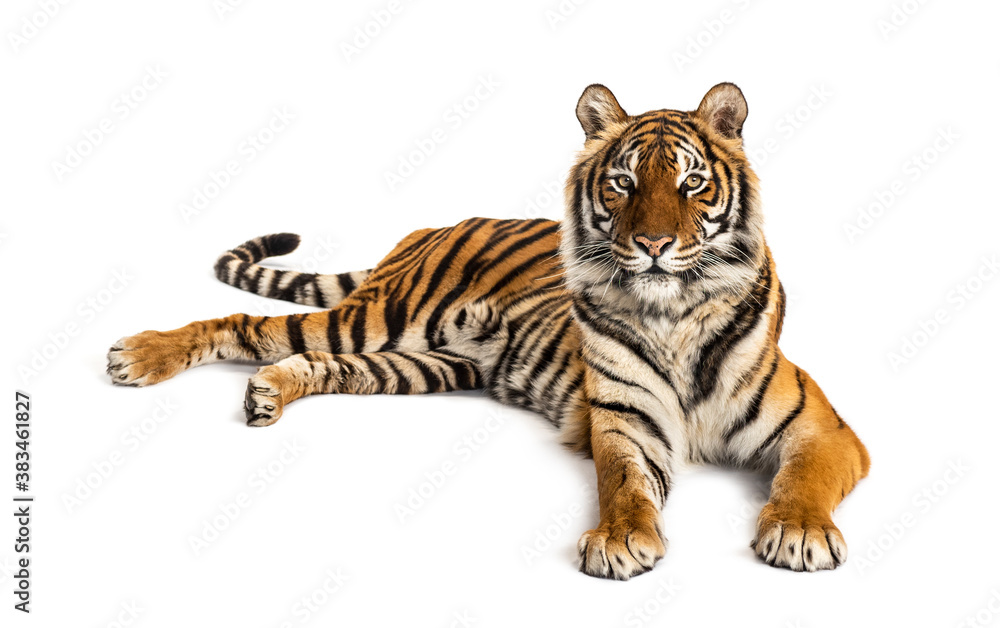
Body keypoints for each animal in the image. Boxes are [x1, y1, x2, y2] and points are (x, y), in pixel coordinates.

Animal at [107, 82, 870, 579]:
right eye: (623, 184)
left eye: (691, 184)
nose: (653, 245)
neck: (674, 313)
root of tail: (426, 230)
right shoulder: (624, 423)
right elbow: (624, 485)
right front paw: (619, 541)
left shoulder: (822, 428)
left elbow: (802, 478)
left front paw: (799, 532)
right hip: (381, 316)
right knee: (247, 323)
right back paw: (139, 355)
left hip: (428, 361)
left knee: (316, 363)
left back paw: (265, 393)